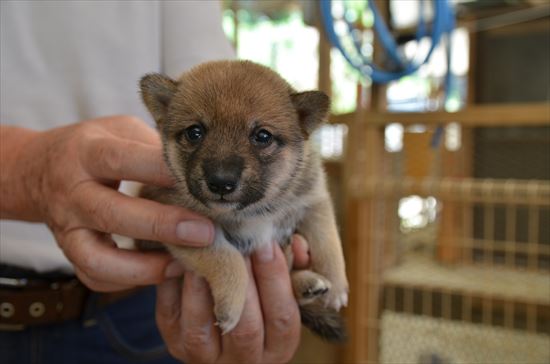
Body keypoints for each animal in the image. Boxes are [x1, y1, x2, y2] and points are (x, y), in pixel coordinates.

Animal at [140, 59, 352, 342]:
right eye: (195, 132)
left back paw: (308, 283)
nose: (220, 182)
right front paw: (231, 305)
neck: (253, 210)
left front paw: (337, 284)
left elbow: (328, 241)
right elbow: (225, 258)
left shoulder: (313, 200)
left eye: (262, 136)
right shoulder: (188, 229)